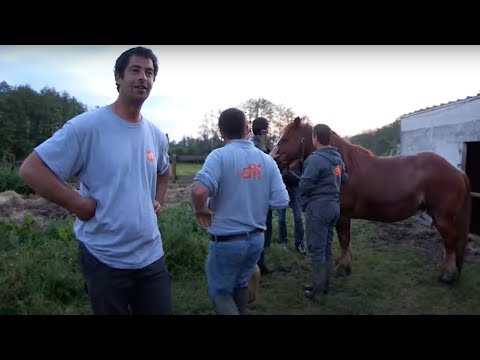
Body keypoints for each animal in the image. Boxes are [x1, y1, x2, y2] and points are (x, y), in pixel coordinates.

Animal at [276, 118, 470, 284]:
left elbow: (344, 240)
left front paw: (343, 268)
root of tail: (458, 172)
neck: (343, 165)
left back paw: (447, 275)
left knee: (450, 242)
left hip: (442, 218)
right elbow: (346, 242)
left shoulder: (343, 216)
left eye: (285, 138)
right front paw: (345, 264)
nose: (273, 158)